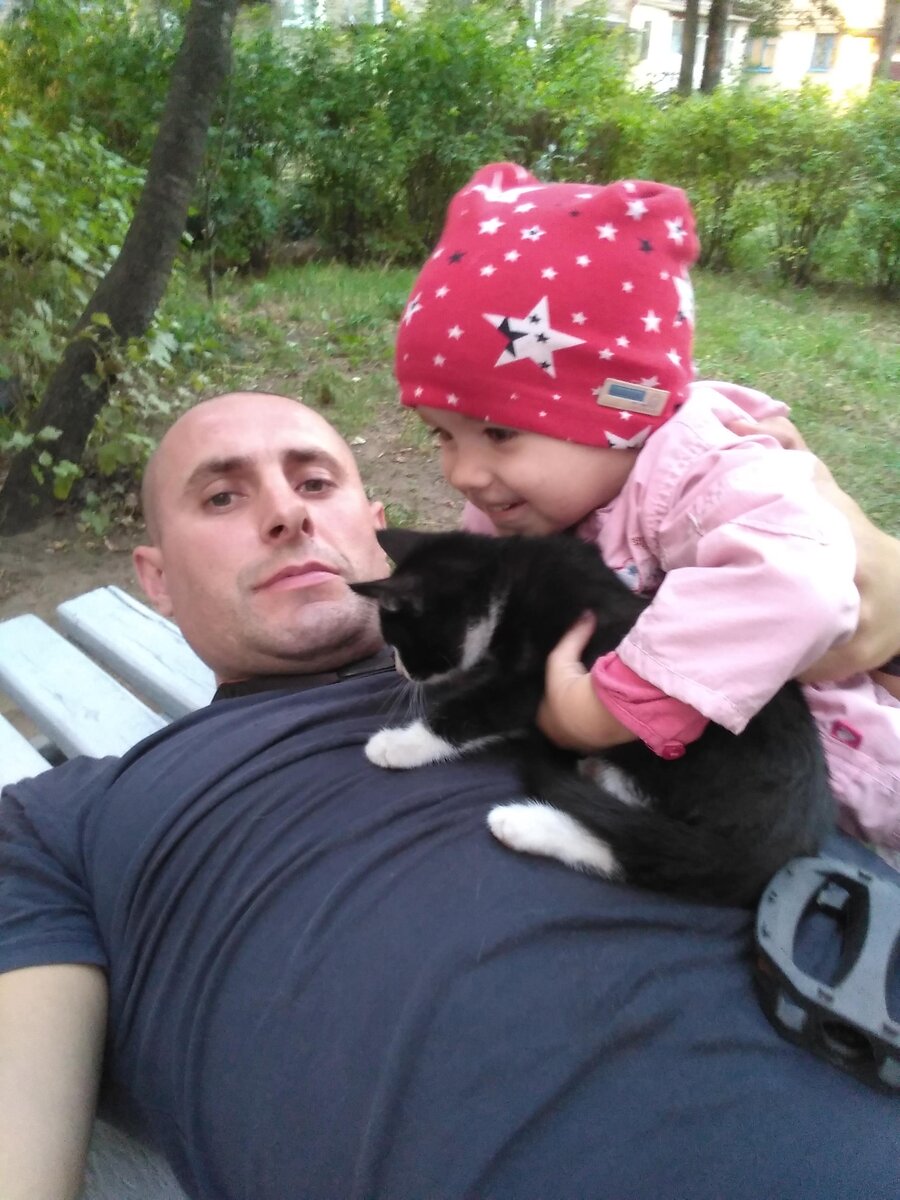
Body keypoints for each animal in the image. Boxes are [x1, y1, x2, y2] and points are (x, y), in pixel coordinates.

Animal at [351, 527, 834, 906]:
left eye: (399, 641)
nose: (400, 670)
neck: (504, 579)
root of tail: (786, 841)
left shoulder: (537, 677)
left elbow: (473, 711)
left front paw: (398, 744)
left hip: (665, 760)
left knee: (643, 851)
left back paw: (524, 823)